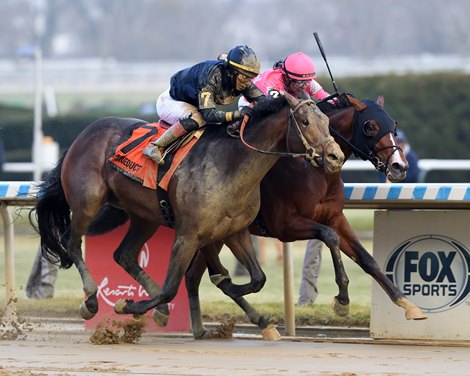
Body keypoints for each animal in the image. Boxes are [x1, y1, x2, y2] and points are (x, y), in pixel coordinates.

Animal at [31, 92, 344, 324]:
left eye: (326, 120)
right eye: (305, 121)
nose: (335, 156)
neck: (230, 165)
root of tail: (83, 134)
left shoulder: (235, 231)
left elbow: (258, 278)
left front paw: (230, 286)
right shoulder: (188, 235)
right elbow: (171, 288)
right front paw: (126, 305)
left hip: (145, 217)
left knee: (125, 255)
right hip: (88, 201)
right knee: (72, 242)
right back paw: (91, 300)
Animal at [185, 93, 428, 338]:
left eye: (394, 125)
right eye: (370, 126)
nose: (399, 166)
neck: (314, 171)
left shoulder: (335, 218)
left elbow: (367, 259)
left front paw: (407, 304)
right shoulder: (285, 225)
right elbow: (330, 237)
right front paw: (342, 300)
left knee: (193, 276)